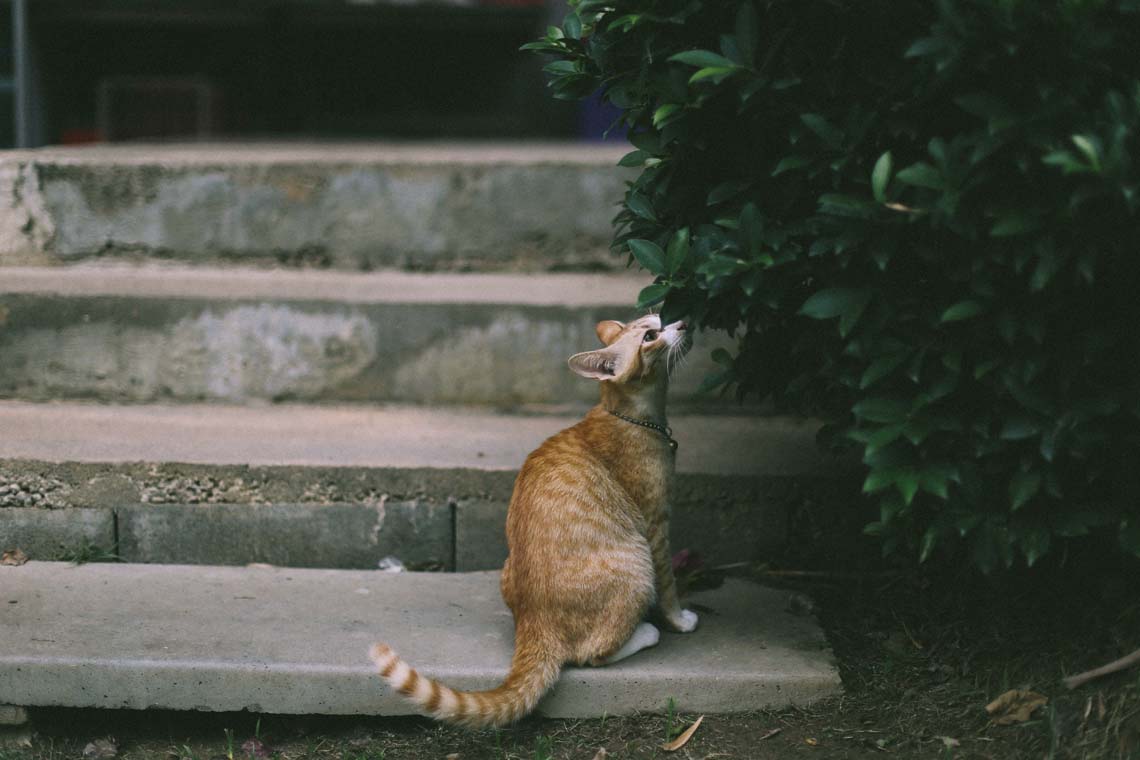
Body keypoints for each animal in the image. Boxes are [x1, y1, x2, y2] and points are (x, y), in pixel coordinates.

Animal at [371, 314, 693, 724]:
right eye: (651, 335)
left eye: (659, 319)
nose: (683, 323)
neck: (632, 415)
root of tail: (534, 623)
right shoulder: (656, 525)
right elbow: (669, 587)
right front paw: (680, 621)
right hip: (637, 564)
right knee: (592, 654)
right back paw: (646, 633)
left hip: (507, 567)